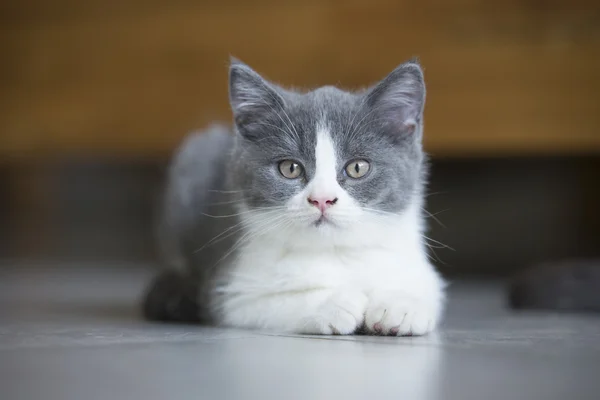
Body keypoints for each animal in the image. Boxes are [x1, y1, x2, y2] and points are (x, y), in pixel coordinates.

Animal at [144, 57, 446, 336]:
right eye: (290, 168)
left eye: (357, 167)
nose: (322, 199)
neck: (335, 251)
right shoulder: (230, 289)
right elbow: (265, 302)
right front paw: (332, 303)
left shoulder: (418, 265)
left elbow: (425, 288)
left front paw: (402, 304)